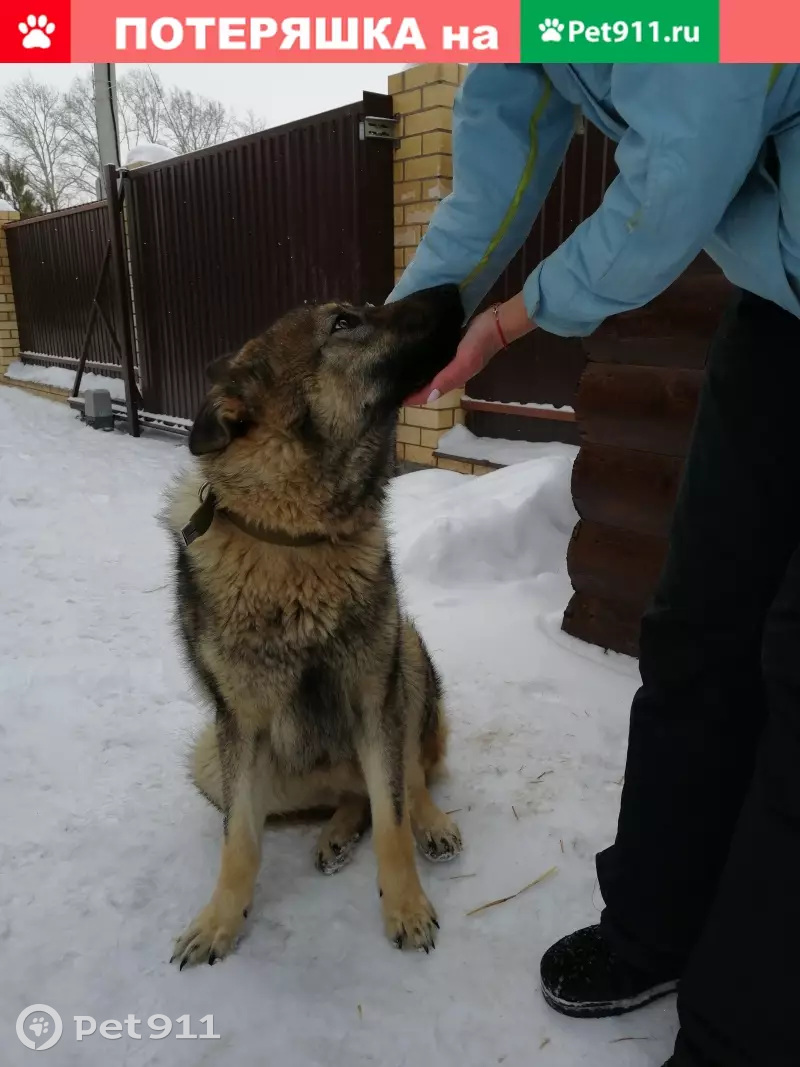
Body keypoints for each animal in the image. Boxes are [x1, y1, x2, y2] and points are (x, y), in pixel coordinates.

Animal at [163, 284, 465, 969]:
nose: (455, 290)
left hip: (406, 658)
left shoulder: (375, 702)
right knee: (349, 794)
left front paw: (406, 906)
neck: (297, 538)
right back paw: (336, 832)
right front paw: (221, 919)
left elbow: (394, 820)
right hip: (211, 762)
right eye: (344, 323)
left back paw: (430, 823)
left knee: (409, 779)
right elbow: (240, 841)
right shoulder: (241, 727)